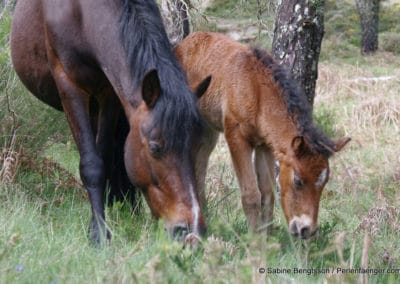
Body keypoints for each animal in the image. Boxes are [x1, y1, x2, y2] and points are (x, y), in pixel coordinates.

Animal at [10, 0, 211, 245]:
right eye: (155, 147)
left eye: (196, 147)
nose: (192, 231)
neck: (80, 13)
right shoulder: (70, 85)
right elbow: (93, 164)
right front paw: (98, 233)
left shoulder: (109, 94)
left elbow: (105, 158)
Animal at [175, 32, 350, 239]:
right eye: (298, 180)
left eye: (324, 182)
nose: (306, 229)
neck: (256, 89)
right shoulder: (236, 138)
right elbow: (251, 194)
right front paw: (254, 239)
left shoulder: (264, 145)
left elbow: (267, 193)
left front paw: (266, 237)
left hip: (209, 132)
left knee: (200, 167)